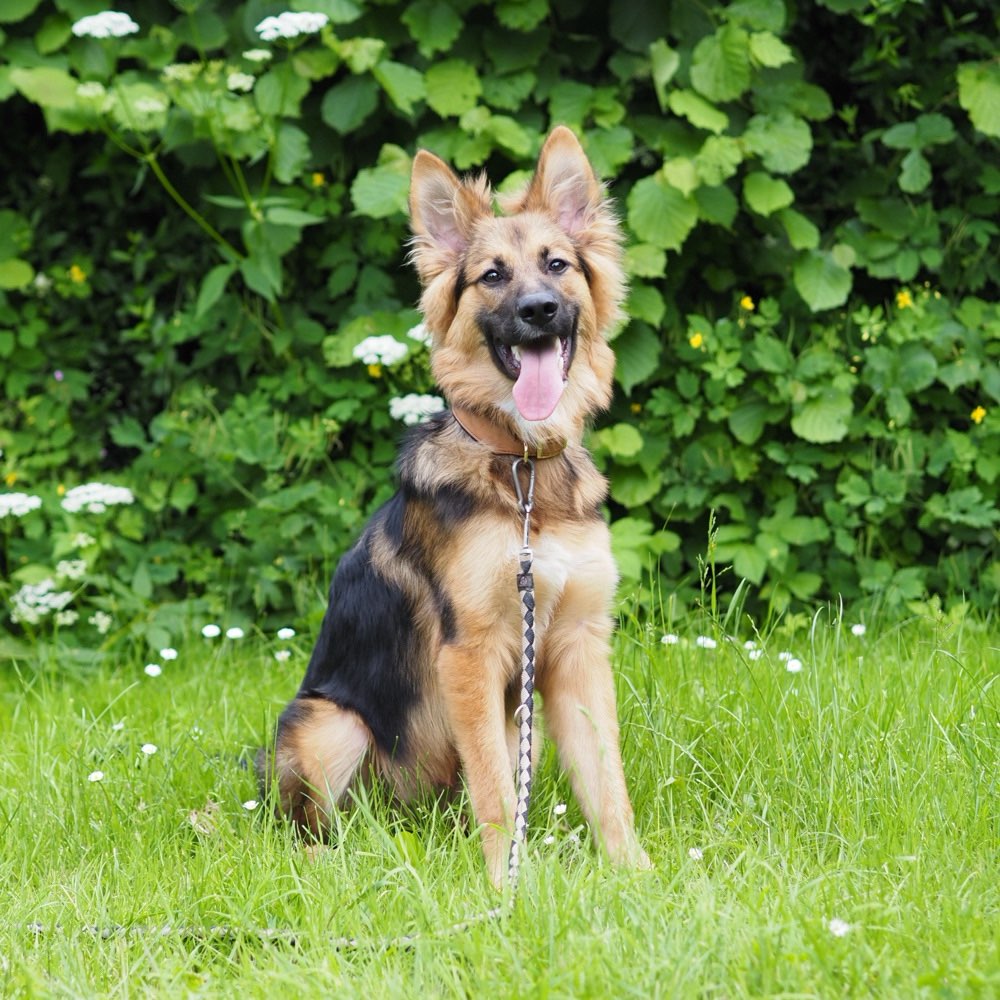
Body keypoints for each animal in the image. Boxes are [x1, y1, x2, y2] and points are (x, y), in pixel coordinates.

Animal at [258, 129, 648, 888]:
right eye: (492, 276)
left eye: (556, 265)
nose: (538, 310)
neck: (523, 471)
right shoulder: (471, 651)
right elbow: (495, 788)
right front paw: (507, 887)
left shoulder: (577, 648)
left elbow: (607, 780)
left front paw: (637, 874)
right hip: (328, 725)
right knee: (308, 827)